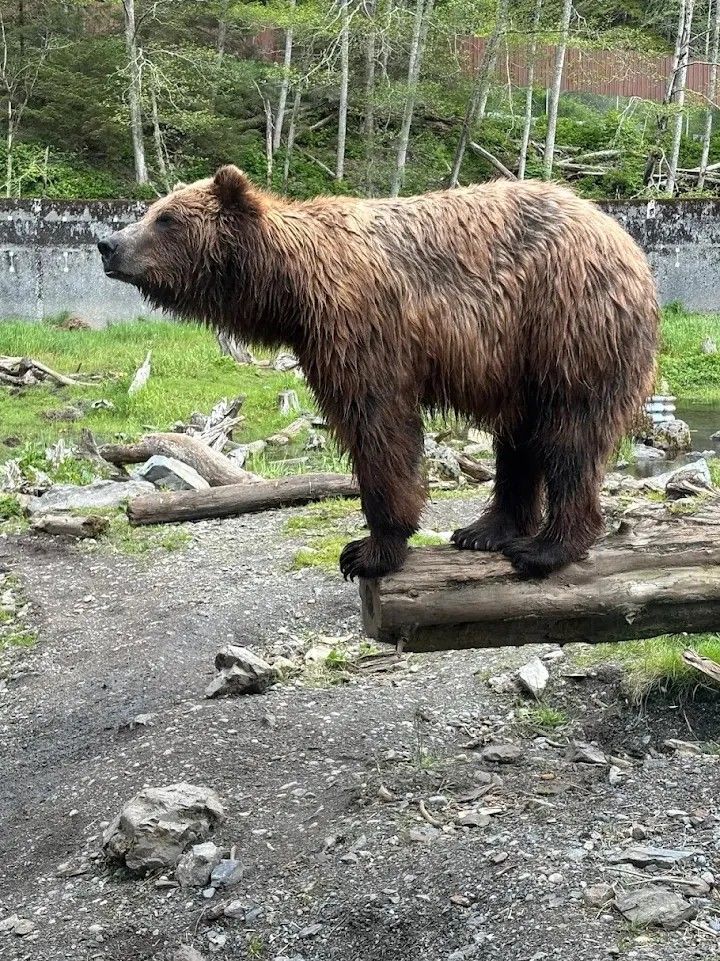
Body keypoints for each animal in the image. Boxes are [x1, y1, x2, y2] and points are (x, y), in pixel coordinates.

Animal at [99, 166, 659, 581]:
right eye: (151, 211)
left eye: (166, 219)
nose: (107, 243)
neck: (291, 289)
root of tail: (625, 241)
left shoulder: (362, 327)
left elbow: (378, 425)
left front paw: (368, 550)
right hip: (521, 357)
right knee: (519, 437)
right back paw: (485, 529)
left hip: (568, 323)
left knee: (570, 435)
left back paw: (546, 548)